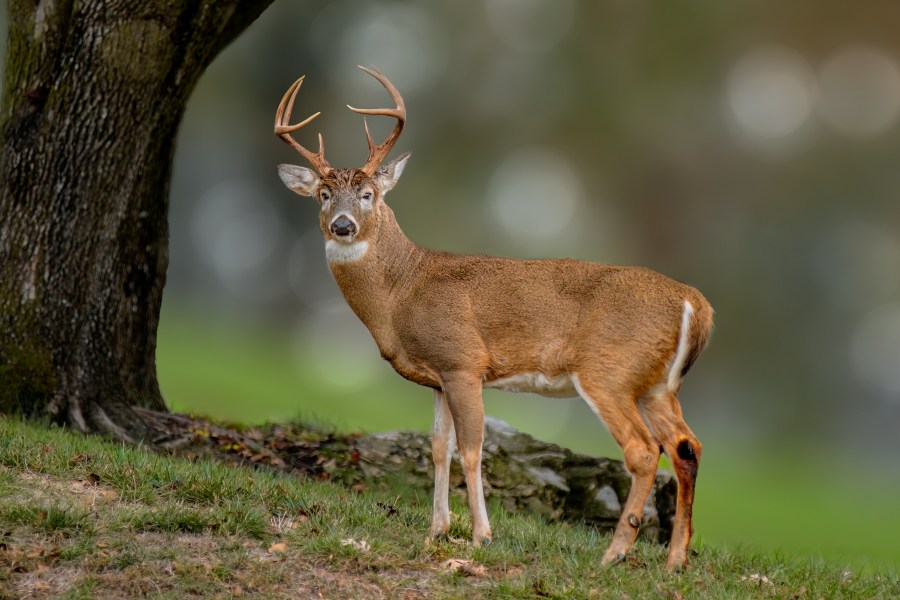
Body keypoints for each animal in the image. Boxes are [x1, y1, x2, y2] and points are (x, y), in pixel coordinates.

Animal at [274, 66, 714, 571]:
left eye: (368, 194)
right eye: (323, 194)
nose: (342, 225)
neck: (404, 289)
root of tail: (695, 303)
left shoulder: (464, 362)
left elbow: (470, 451)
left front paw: (481, 535)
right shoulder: (438, 377)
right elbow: (438, 449)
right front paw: (437, 530)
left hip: (609, 372)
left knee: (643, 450)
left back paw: (614, 553)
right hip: (657, 385)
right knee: (686, 446)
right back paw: (675, 560)